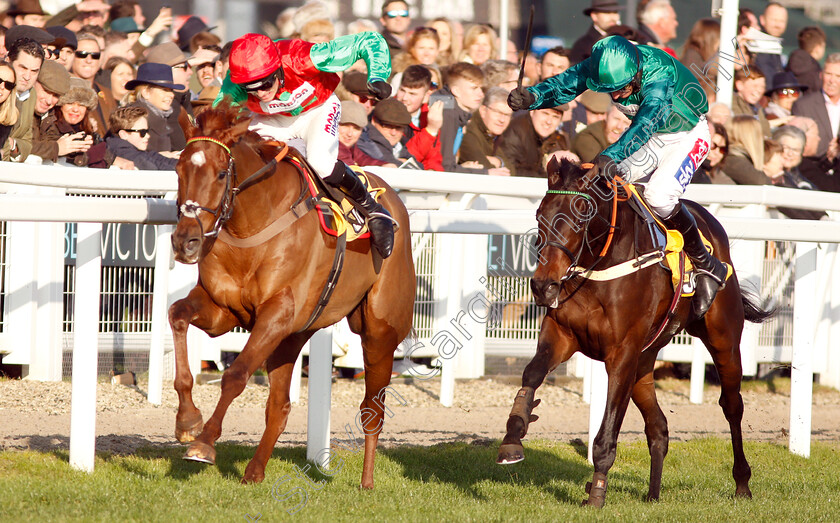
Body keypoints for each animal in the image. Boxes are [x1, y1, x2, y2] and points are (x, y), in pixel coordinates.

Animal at [168, 102, 416, 492]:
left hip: (380, 333)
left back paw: (366, 481)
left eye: (222, 173)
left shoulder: (277, 314)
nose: (186, 241)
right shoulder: (224, 310)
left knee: (372, 410)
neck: (251, 226)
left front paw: (204, 443)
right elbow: (177, 314)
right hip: (293, 335)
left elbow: (235, 374)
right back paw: (254, 472)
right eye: (178, 170)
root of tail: (392, 198)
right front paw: (187, 421)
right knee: (280, 407)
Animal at [498, 160, 776, 508]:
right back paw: (653, 494)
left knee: (731, 405)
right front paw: (513, 436)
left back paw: (742, 483)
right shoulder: (562, 334)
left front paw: (597, 494)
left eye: (581, 215)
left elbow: (607, 432)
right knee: (659, 426)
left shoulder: (622, 354)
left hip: (723, 339)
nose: (542, 285)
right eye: (539, 215)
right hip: (645, 361)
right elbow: (532, 373)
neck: (600, 268)